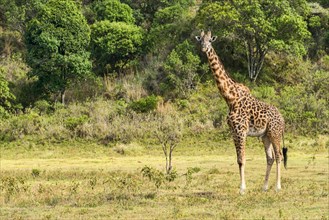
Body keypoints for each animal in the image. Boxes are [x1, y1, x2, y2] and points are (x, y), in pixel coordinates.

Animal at [195, 30, 288, 194]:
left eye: (210, 41)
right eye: (200, 40)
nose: (204, 48)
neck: (230, 98)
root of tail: (282, 119)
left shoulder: (240, 131)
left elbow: (242, 159)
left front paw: (242, 188)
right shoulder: (233, 132)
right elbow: (238, 160)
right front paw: (243, 187)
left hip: (275, 132)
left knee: (278, 156)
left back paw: (277, 187)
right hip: (265, 136)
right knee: (270, 158)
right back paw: (264, 187)